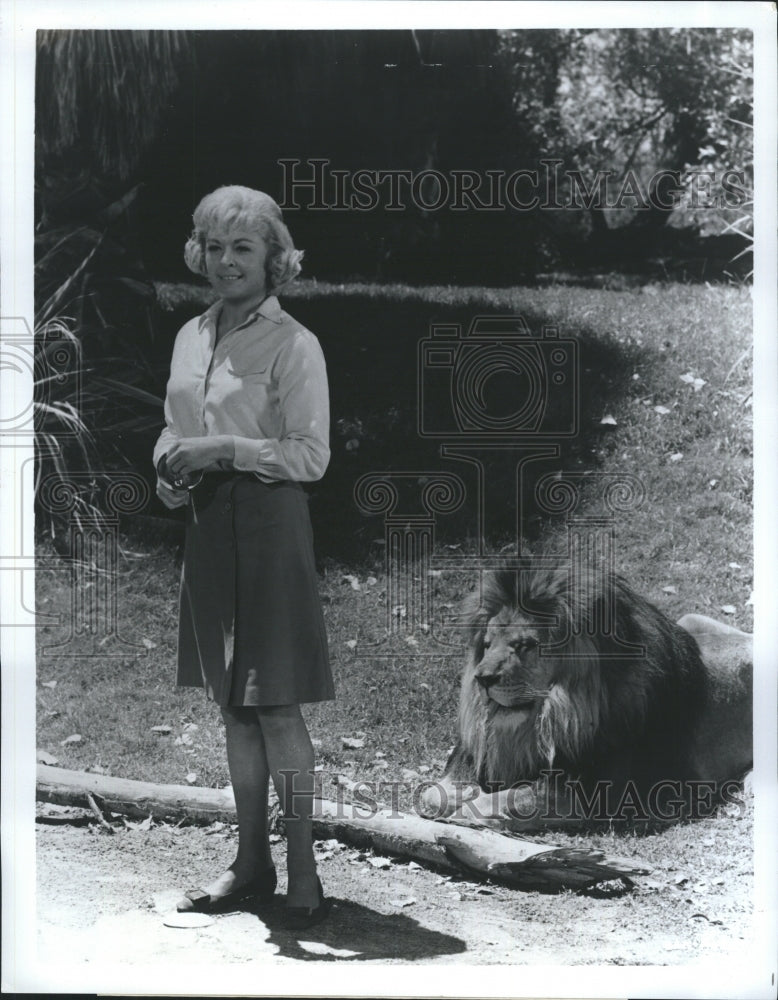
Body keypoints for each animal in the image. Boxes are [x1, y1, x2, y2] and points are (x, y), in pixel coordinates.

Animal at [418, 568, 752, 832]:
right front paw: (463, 795)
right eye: (487, 645)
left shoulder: (596, 793)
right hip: (690, 618)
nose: (483, 678)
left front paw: (471, 812)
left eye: (525, 645)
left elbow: (513, 798)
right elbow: (432, 796)